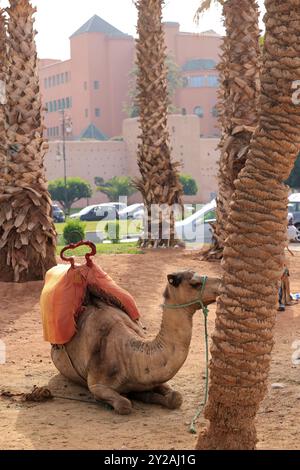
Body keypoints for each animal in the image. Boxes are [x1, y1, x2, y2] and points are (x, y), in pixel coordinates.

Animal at [51, 270, 219, 414]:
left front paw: (145, 395)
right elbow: (124, 404)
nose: (220, 283)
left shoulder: (153, 378)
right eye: (195, 283)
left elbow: (176, 398)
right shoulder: (96, 384)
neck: (129, 357)